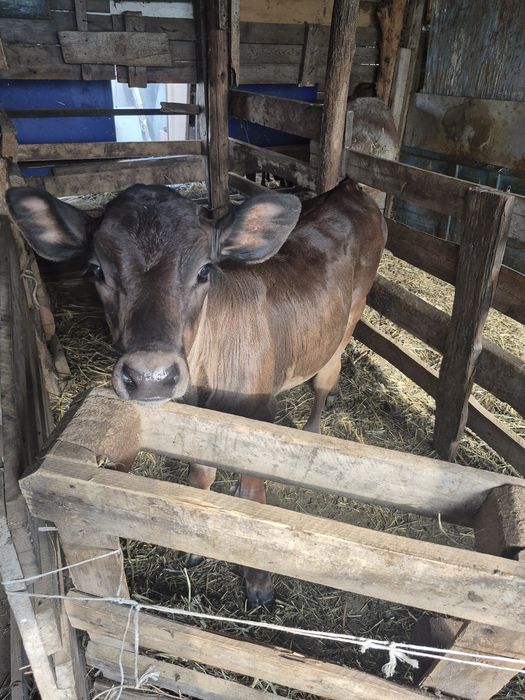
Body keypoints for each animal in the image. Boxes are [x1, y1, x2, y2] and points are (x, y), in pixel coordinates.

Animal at [7, 178, 387, 606]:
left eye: (205, 270)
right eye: (97, 270)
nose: (150, 376)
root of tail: (349, 188)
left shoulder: (257, 419)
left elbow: (254, 499)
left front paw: (258, 582)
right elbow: (200, 477)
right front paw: (193, 549)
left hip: (348, 321)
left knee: (325, 379)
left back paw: (312, 432)